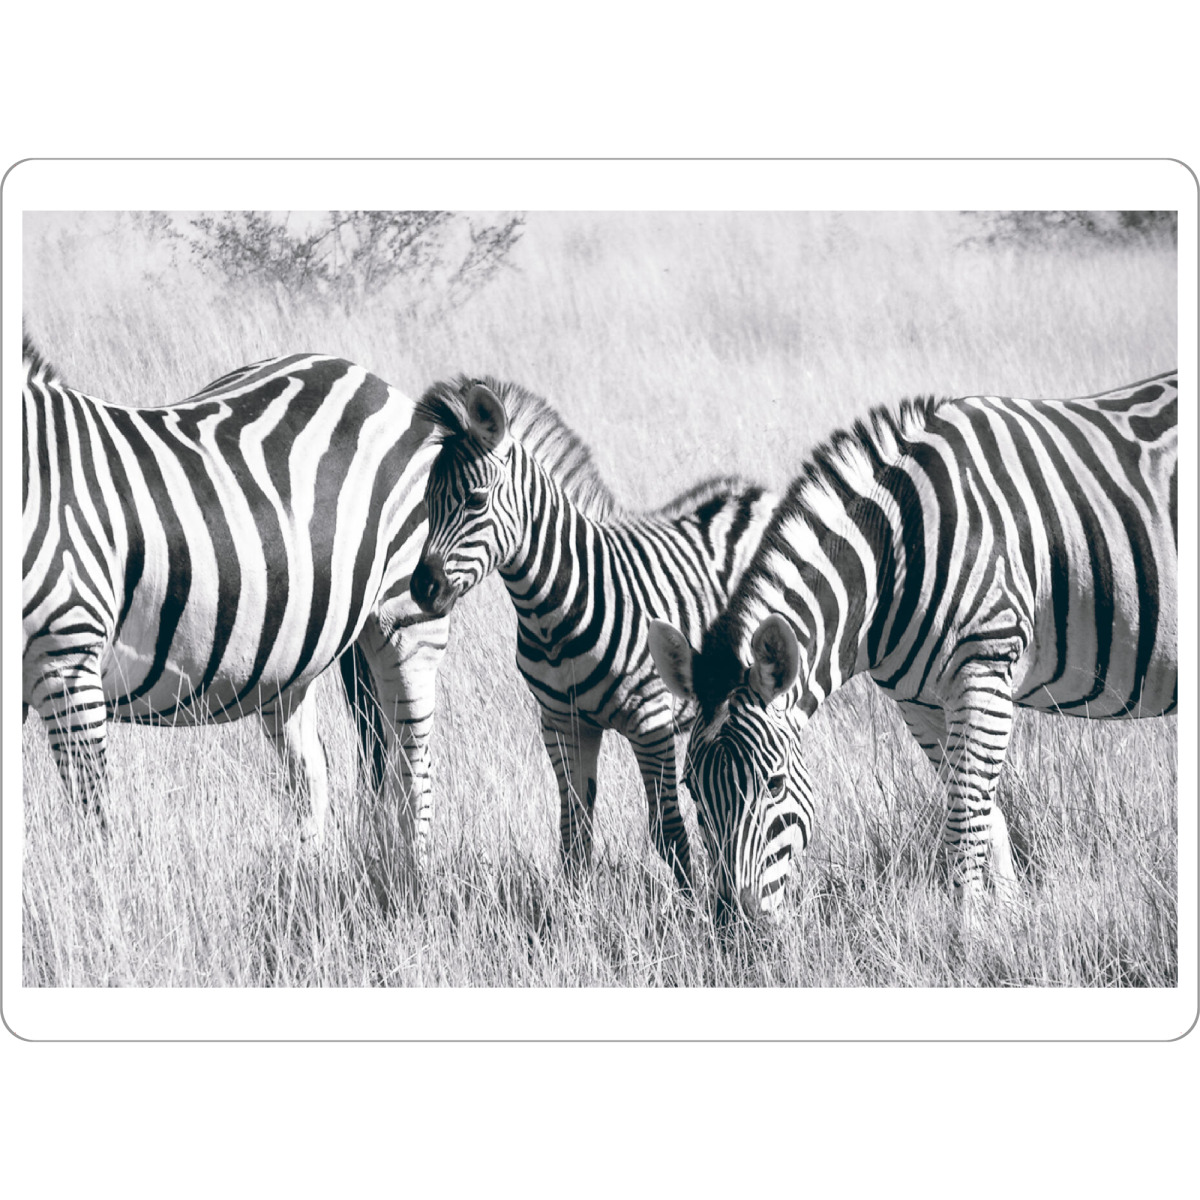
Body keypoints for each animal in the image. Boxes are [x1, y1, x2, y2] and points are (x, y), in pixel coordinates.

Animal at [22, 337, 448, 858]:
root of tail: (370, 379)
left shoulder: (69, 658)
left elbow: (94, 823)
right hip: (289, 662)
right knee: (312, 774)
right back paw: (311, 875)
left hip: (407, 619)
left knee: (414, 766)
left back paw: (413, 873)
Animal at [408, 375, 788, 892]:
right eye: (426, 502)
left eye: (475, 500)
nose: (421, 589)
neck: (552, 616)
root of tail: (760, 495)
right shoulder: (561, 722)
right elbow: (574, 829)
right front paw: (573, 905)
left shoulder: (651, 724)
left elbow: (668, 831)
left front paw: (692, 904)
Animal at [649, 371, 1178, 918]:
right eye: (691, 789)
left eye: (773, 783)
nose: (733, 922)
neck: (894, 556)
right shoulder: (920, 702)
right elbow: (985, 815)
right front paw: (1008, 924)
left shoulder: (985, 671)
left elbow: (967, 822)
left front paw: (969, 934)